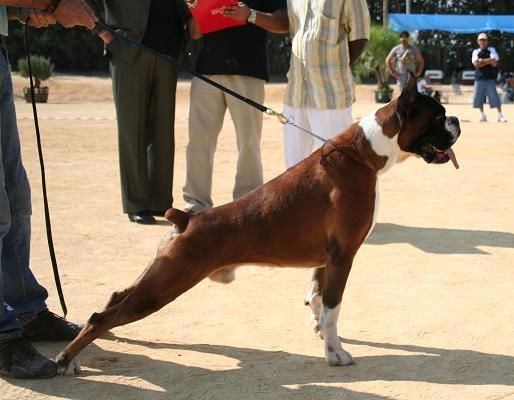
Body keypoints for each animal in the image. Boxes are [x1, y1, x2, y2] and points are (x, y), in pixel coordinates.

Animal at [56, 72, 460, 376]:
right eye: (439, 116)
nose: (456, 121)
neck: (363, 153)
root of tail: (185, 218)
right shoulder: (342, 255)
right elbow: (333, 307)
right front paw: (335, 354)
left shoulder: (325, 258)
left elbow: (317, 298)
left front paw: (320, 333)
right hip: (167, 282)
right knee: (105, 315)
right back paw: (66, 361)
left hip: (159, 275)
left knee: (111, 304)